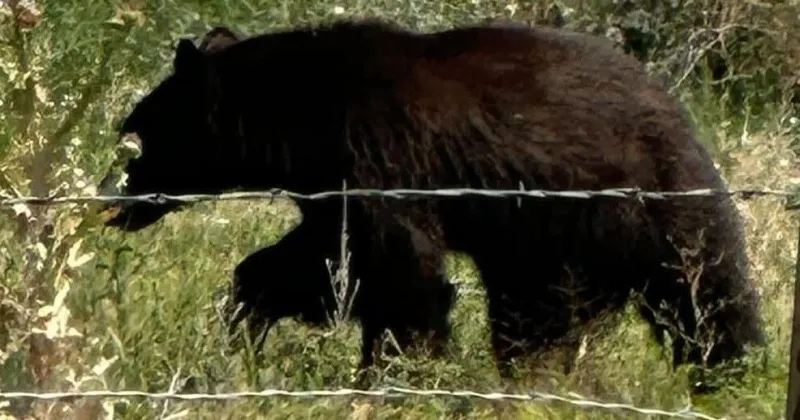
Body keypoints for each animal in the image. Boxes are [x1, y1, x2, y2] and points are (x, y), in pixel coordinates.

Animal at [97, 18, 766, 393]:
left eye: (136, 134)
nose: (110, 198)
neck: (298, 112)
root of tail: (678, 109)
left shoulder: (378, 155)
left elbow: (397, 273)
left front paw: (399, 373)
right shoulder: (332, 186)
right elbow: (322, 262)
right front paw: (246, 315)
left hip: (650, 199)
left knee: (704, 294)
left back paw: (731, 376)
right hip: (546, 245)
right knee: (533, 321)